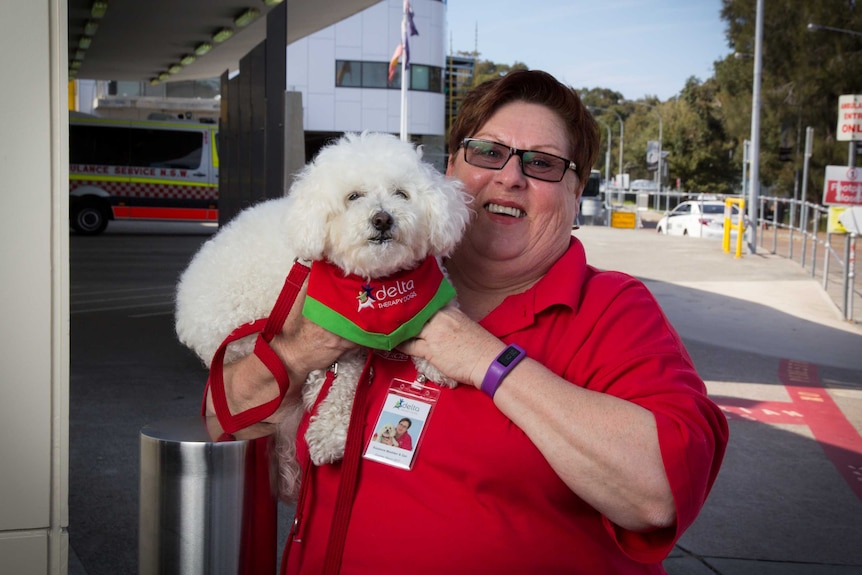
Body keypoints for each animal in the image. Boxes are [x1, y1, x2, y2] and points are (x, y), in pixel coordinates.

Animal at [176, 133, 472, 502]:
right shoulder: (333, 343)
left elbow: (438, 313)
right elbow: (338, 383)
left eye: (401, 193)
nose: (382, 219)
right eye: (353, 196)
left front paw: (438, 358)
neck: (376, 287)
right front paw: (330, 433)